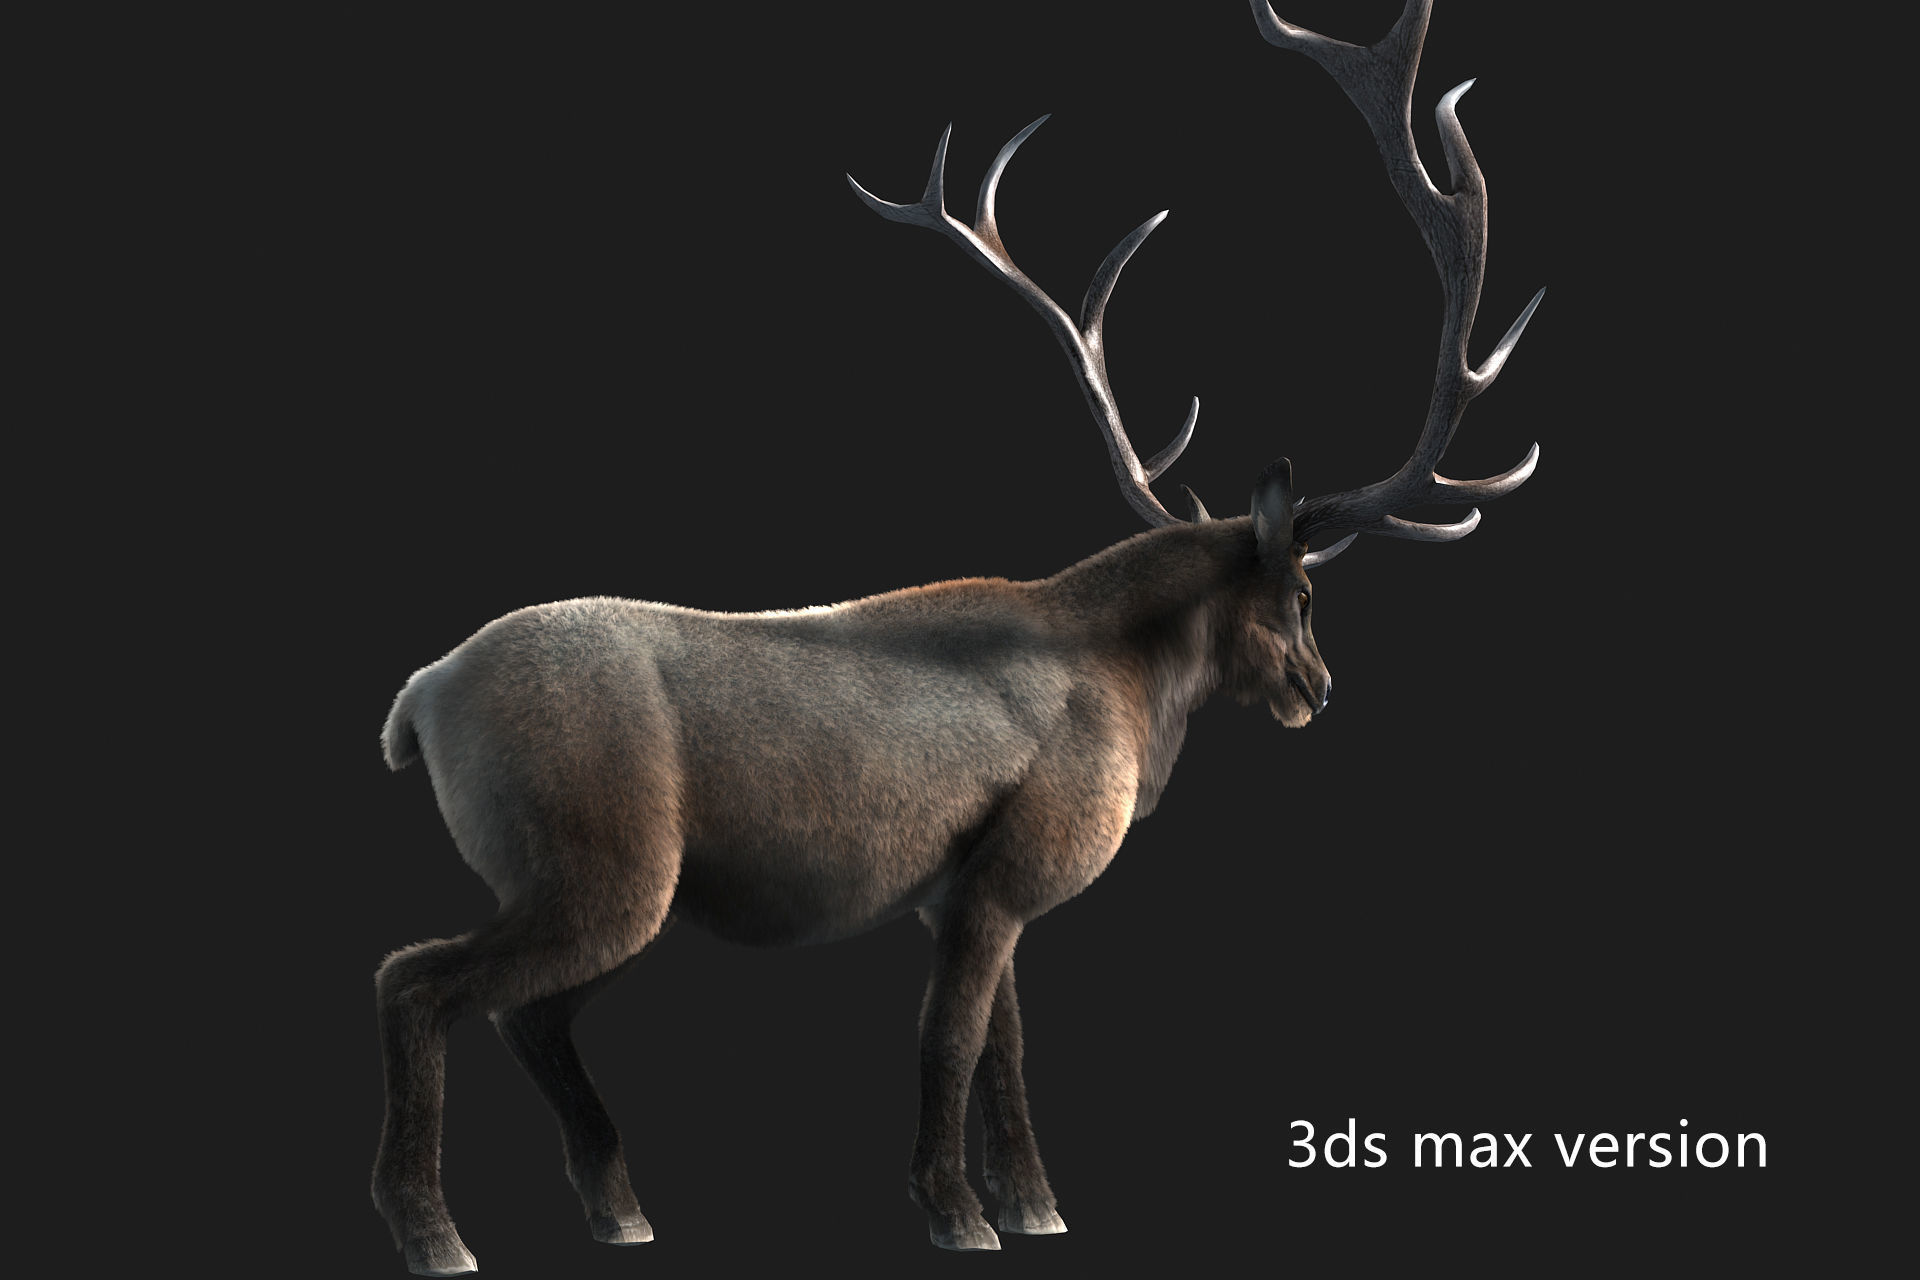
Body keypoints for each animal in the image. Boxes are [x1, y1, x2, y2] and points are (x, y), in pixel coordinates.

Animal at [370, 2, 1545, 1273]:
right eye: (1305, 596)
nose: (1321, 688)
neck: (1137, 690)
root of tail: (417, 698)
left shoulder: (974, 889)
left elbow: (1005, 1052)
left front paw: (1035, 1201)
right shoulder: (1005, 876)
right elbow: (947, 1043)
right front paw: (956, 1210)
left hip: (609, 893)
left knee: (524, 1011)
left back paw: (618, 1206)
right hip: (604, 869)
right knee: (418, 977)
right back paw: (435, 1228)